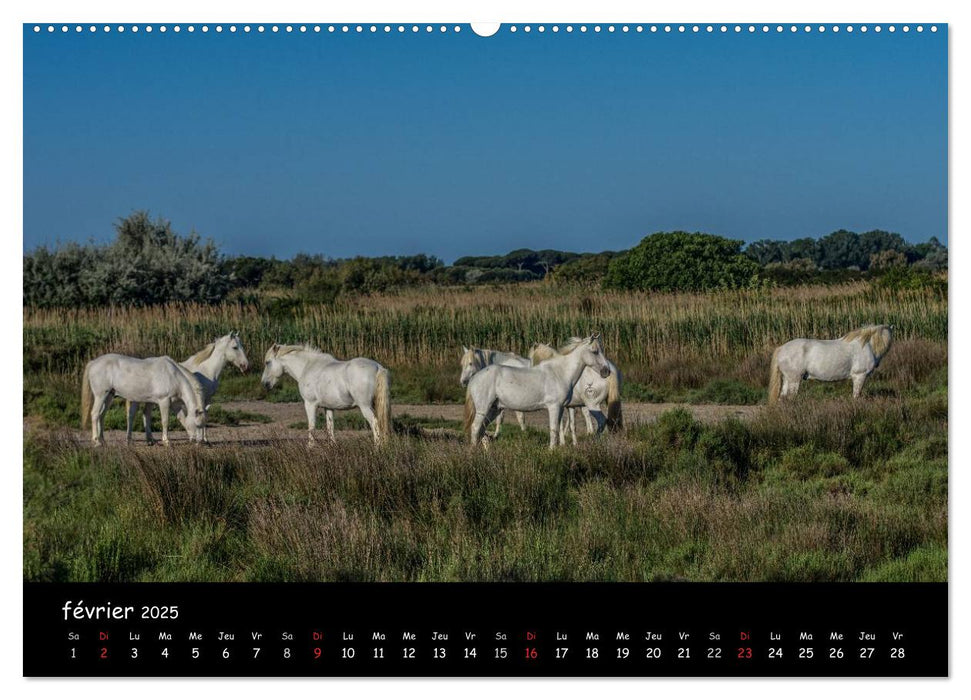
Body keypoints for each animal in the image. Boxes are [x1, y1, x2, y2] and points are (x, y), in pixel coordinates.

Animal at [264, 344, 392, 448]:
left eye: (268, 362)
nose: (265, 384)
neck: (307, 367)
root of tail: (377, 367)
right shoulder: (328, 407)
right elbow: (330, 427)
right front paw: (332, 447)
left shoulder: (310, 404)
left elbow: (312, 426)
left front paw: (310, 447)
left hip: (365, 407)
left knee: (375, 423)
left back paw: (377, 448)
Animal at [464, 334, 608, 448]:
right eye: (595, 351)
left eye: (601, 350)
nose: (606, 371)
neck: (560, 373)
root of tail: (474, 378)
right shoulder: (553, 407)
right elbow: (554, 430)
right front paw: (552, 451)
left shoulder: (561, 408)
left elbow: (558, 429)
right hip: (483, 409)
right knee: (475, 428)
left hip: (494, 409)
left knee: (481, 429)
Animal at [768, 324, 896, 404]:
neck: (866, 346)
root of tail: (781, 348)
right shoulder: (859, 376)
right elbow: (856, 395)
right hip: (794, 380)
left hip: (787, 379)